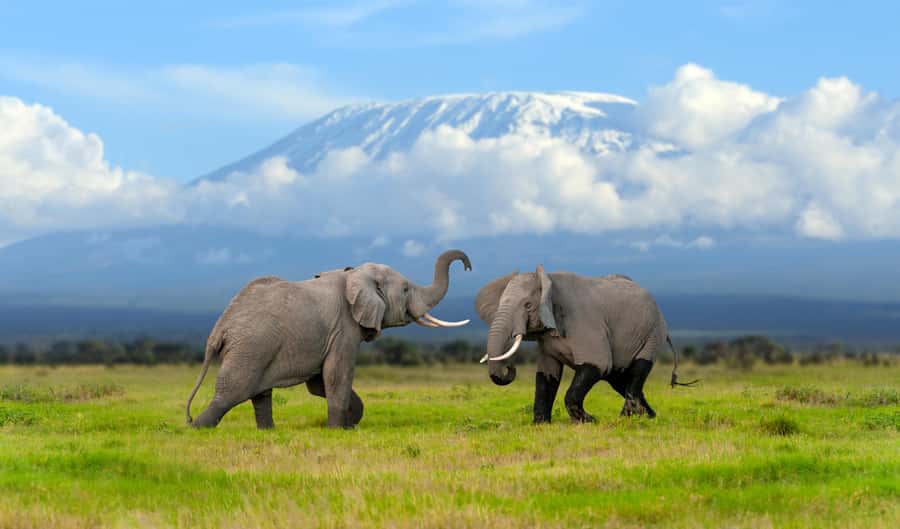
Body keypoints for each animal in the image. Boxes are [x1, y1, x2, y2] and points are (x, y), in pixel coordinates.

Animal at [186, 249, 472, 429]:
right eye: (405, 290)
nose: (468, 266)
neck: (355, 274)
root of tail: (219, 328)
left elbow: (318, 383)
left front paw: (350, 423)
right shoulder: (344, 328)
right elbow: (337, 375)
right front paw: (337, 429)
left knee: (260, 394)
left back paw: (268, 431)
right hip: (250, 347)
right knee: (231, 393)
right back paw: (197, 428)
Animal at [475, 265, 695, 423]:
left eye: (527, 305)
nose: (510, 368)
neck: (549, 280)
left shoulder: (586, 322)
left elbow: (597, 364)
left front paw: (589, 421)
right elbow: (547, 375)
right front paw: (540, 424)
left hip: (652, 333)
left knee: (637, 371)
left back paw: (626, 419)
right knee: (619, 379)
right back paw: (649, 417)